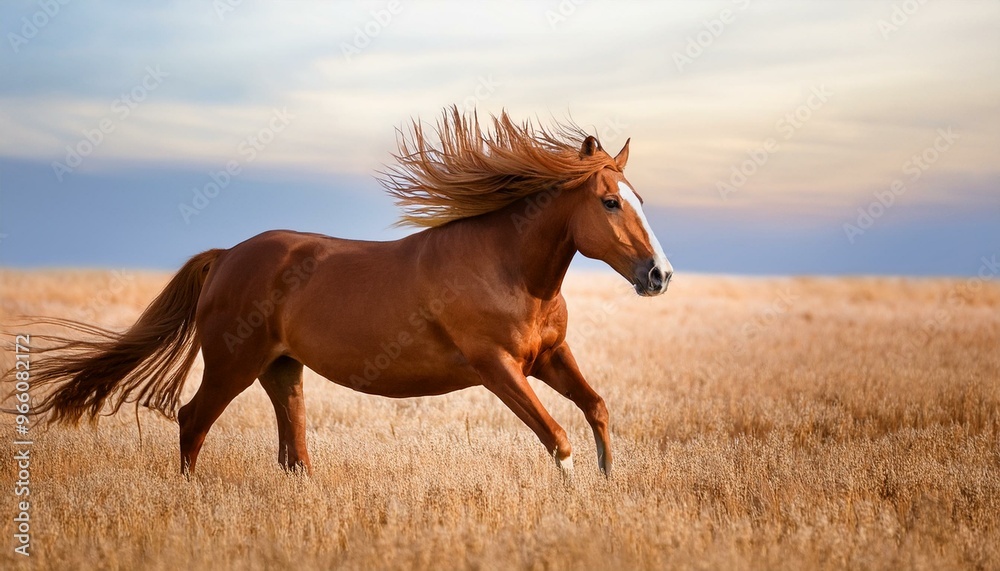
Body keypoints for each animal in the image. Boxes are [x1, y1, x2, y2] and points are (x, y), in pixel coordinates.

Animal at [22, 107, 672, 477]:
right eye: (609, 202)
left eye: (640, 198)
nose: (658, 275)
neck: (508, 270)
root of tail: (227, 256)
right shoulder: (497, 367)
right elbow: (558, 438)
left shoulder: (549, 357)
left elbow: (596, 409)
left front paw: (608, 488)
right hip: (233, 363)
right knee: (192, 420)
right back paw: (189, 498)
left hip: (282, 368)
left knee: (293, 450)